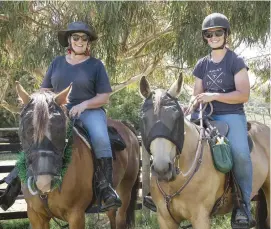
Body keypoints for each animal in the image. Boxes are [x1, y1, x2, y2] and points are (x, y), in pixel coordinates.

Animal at [15, 82, 140, 229]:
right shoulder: (36, 216)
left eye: (60, 129)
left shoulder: (76, 215)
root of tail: (126, 127)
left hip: (125, 189)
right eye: (26, 129)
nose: (43, 182)